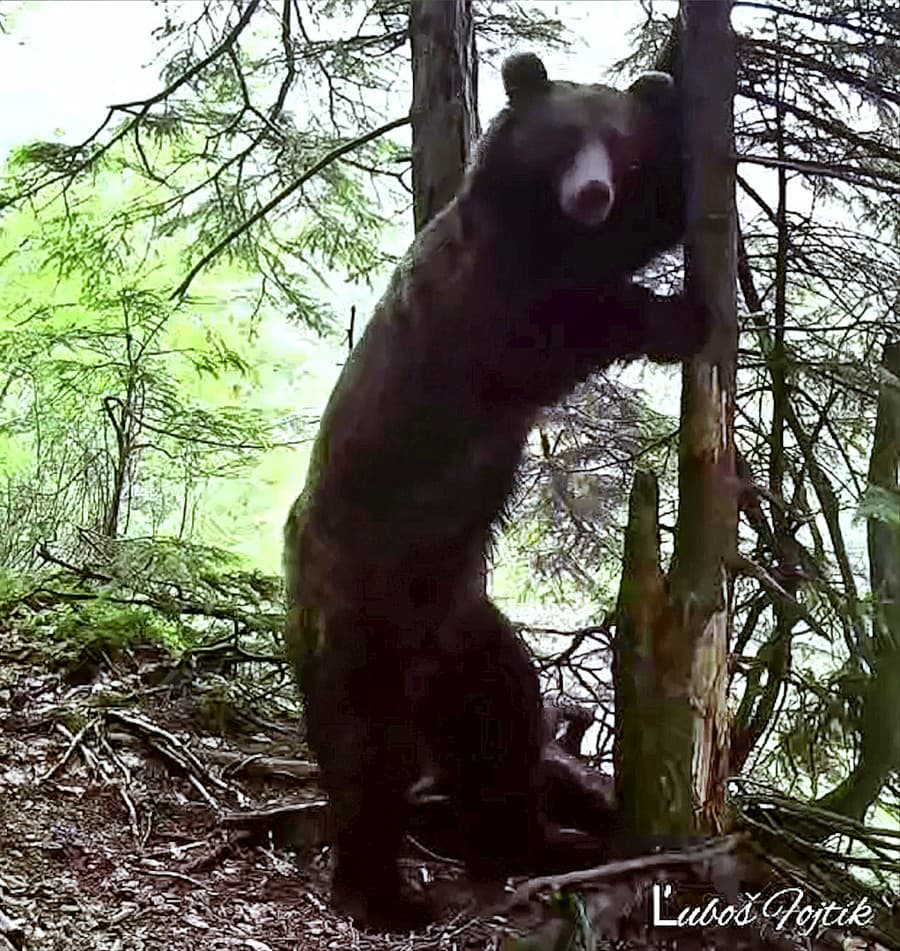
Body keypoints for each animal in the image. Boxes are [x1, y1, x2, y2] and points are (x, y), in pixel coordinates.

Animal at [284, 52, 708, 928]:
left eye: (620, 146)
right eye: (563, 139)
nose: (592, 192)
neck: (541, 228)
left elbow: (651, 218)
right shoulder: (488, 305)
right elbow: (568, 325)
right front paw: (677, 315)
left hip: (470, 633)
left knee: (503, 722)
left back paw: (536, 840)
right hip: (365, 601)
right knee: (368, 749)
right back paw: (383, 890)